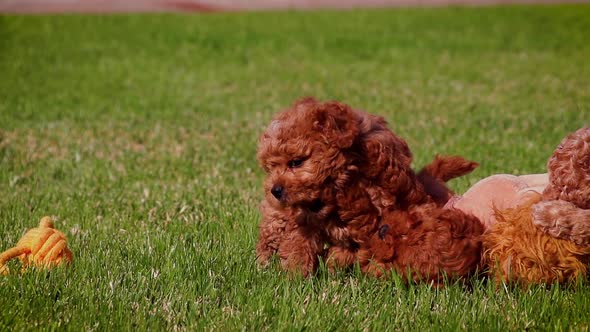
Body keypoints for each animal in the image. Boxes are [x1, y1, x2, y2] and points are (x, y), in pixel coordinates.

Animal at [256, 97, 478, 276]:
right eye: (271, 167)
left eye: (296, 162)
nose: (275, 190)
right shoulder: (302, 218)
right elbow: (298, 242)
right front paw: (295, 276)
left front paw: (331, 265)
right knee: (270, 231)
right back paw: (262, 263)